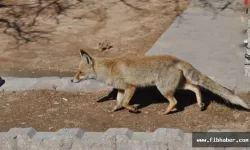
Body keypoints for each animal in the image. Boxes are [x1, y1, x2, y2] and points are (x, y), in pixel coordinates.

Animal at [71, 49, 249, 115]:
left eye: (80, 72)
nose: (72, 79)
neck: (109, 69)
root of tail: (176, 59)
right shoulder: (121, 90)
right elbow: (118, 102)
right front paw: (114, 110)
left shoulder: (130, 88)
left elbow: (126, 103)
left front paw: (133, 109)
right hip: (177, 85)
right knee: (196, 87)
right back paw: (199, 104)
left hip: (163, 89)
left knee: (175, 101)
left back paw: (167, 112)